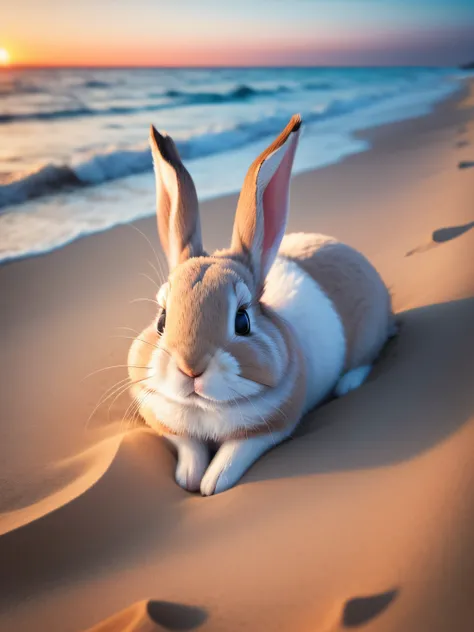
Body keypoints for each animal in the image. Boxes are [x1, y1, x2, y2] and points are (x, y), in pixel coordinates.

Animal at [128, 116, 394, 496]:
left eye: (242, 321)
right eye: (161, 320)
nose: (191, 368)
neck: (204, 409)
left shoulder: (272, 428)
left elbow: (236, 452)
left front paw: (211, 483)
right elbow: (188, 446)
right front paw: (188, 476)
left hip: (369, 332)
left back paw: (347, 384)